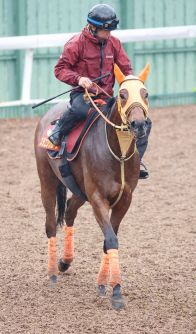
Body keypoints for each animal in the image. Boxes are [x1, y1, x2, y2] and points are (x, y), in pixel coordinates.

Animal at [34, 64, 149, 310]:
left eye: (145, 94)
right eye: (123, 95)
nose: (139, 125)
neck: (118, 154)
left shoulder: (124, 200)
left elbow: (108, 240)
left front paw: (104, 285)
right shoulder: (98, 199)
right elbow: (111, 239)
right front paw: (117, 292)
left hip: (79, 190)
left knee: (69, 210)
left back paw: (65, 261)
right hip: (47, 181)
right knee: (50, 224)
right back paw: (52, 273)